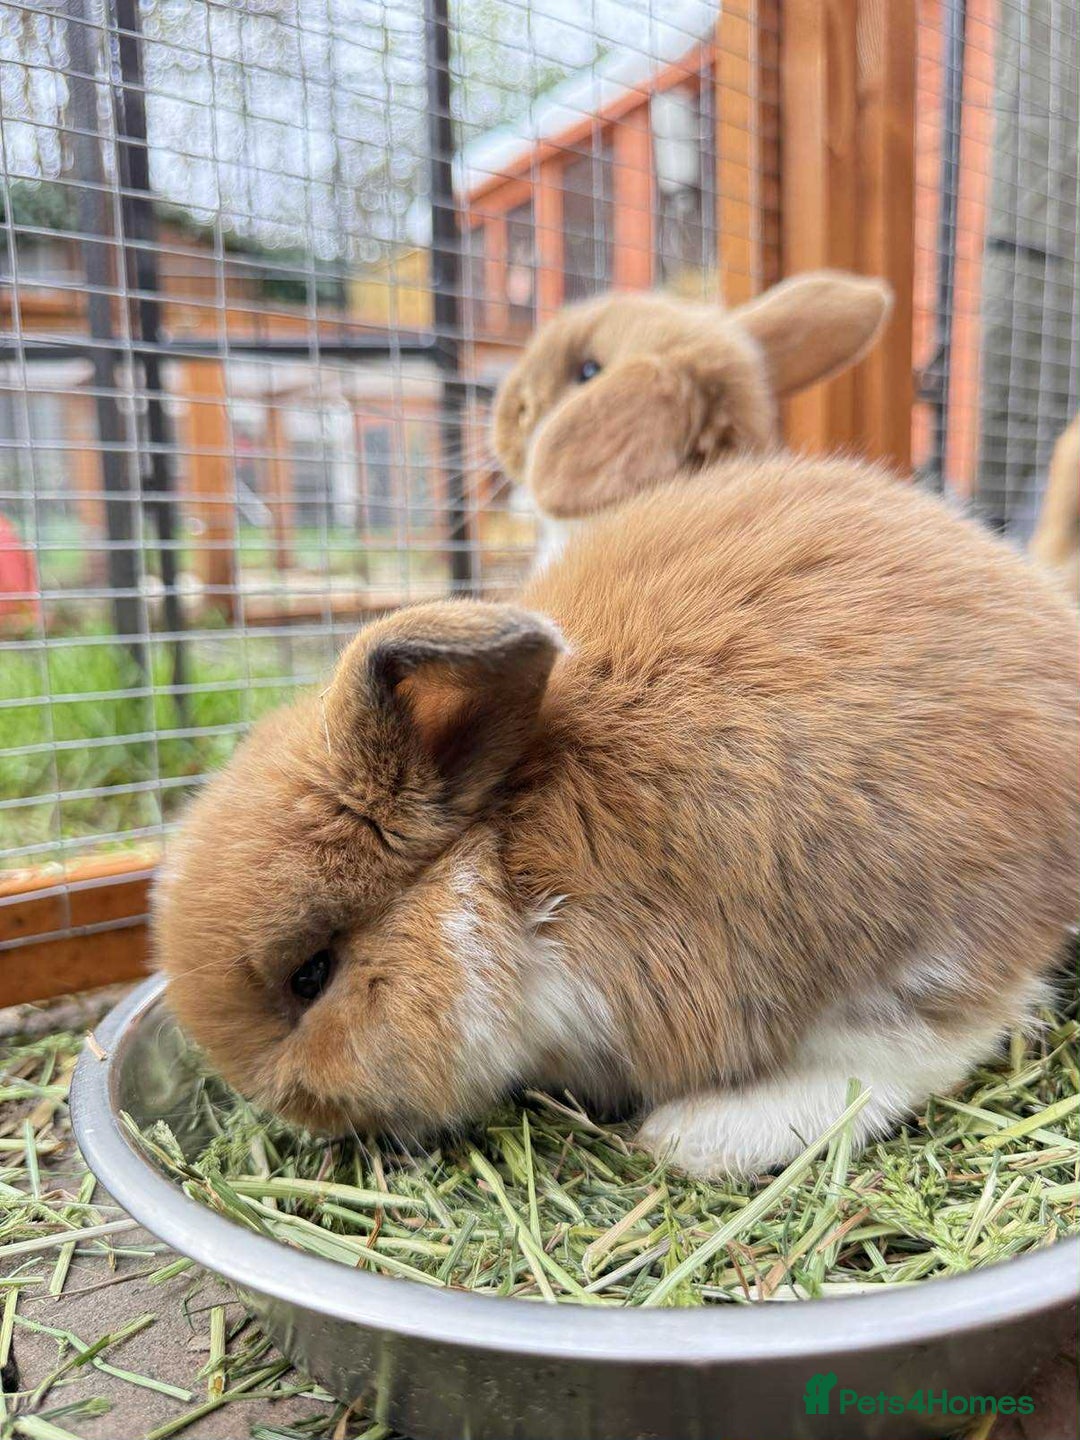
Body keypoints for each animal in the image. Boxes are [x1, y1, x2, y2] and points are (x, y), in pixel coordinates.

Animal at [156, 447, 1080, 1179]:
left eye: (312, 975)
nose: (295, 1111)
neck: (500, 862)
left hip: (920, 938)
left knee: (934, 1049)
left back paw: (699, 1137)